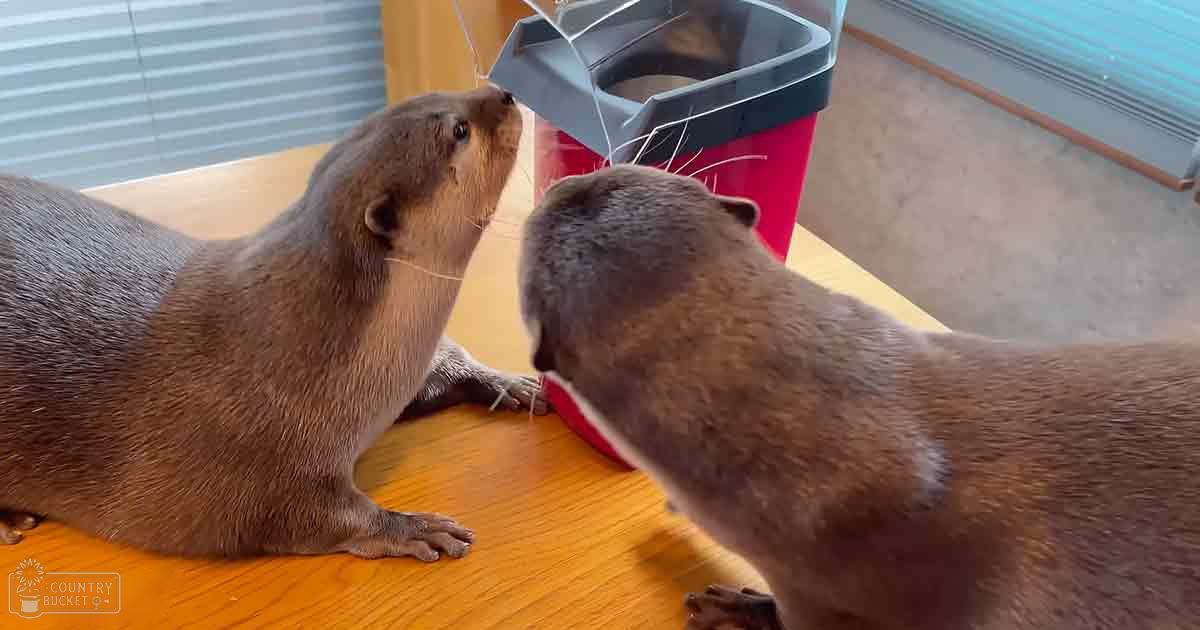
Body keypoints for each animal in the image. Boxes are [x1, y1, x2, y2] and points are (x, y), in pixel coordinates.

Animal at [0, 86, 547, 561]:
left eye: (437, 94)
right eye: (459, 130)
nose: (503, 94)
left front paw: (505, 382)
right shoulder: (246, 459)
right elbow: (304, 516)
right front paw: (408, 528)